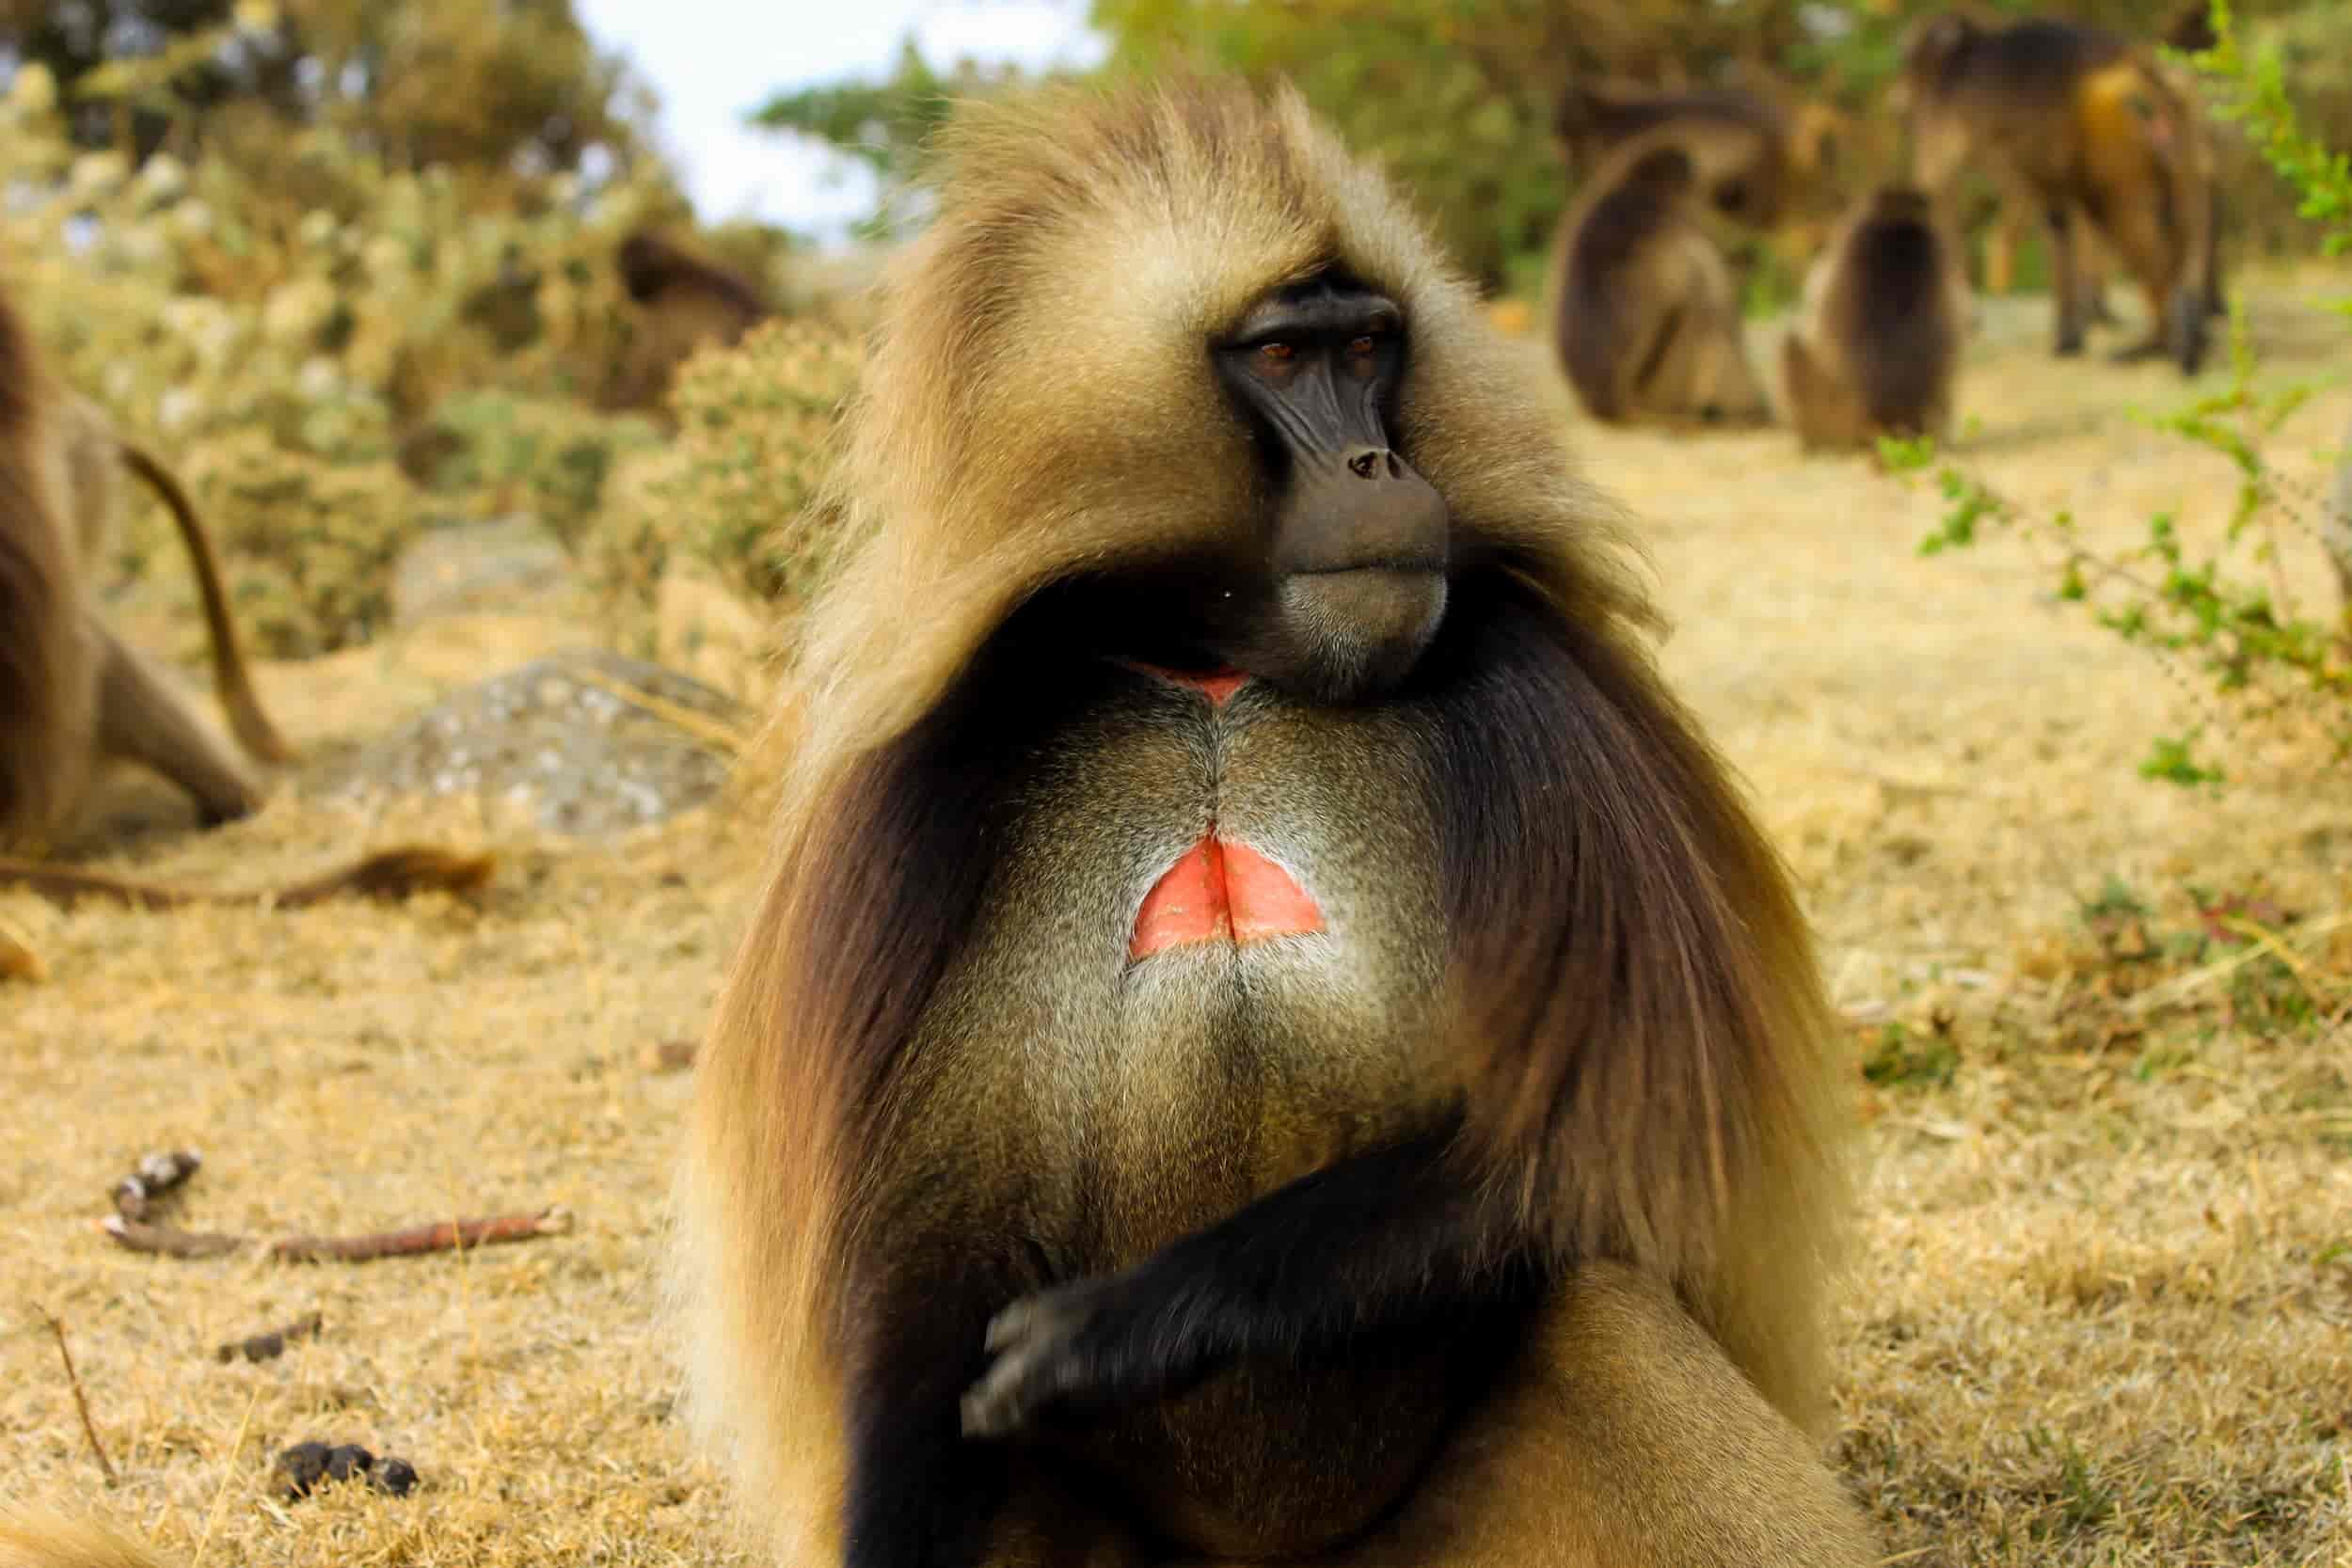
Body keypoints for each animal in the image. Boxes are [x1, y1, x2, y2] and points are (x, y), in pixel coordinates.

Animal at [600, 230, 775, 414]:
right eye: (623, 264)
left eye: (635, 265)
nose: (631, 288)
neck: (668, 274)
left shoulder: (663, 312)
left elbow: (646, 361)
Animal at [1900, 11, 2217, 373]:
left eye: (1923, 84)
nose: (1903, 102)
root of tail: (2130, 63)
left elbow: (2052, 217)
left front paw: (2069, 334)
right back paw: (2171, 330)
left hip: (2117, 139)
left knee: (2119, 214)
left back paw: (2162, 334)